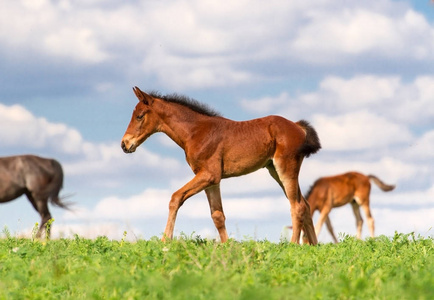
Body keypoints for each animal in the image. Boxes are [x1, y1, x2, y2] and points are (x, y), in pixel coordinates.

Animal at [120, 86, 320, 244]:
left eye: (139, 116)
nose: (124, 144)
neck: (195, 132)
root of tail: (297, 126)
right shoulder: (212, 180)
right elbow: (217, 215)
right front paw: (227, 246)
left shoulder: (209, 174)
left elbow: (176, 198)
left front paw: (165, 240)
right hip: (275, 171)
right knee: (305, 204)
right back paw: (313, 246)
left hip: (286, 168)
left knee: (297, 206)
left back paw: (293, 245)